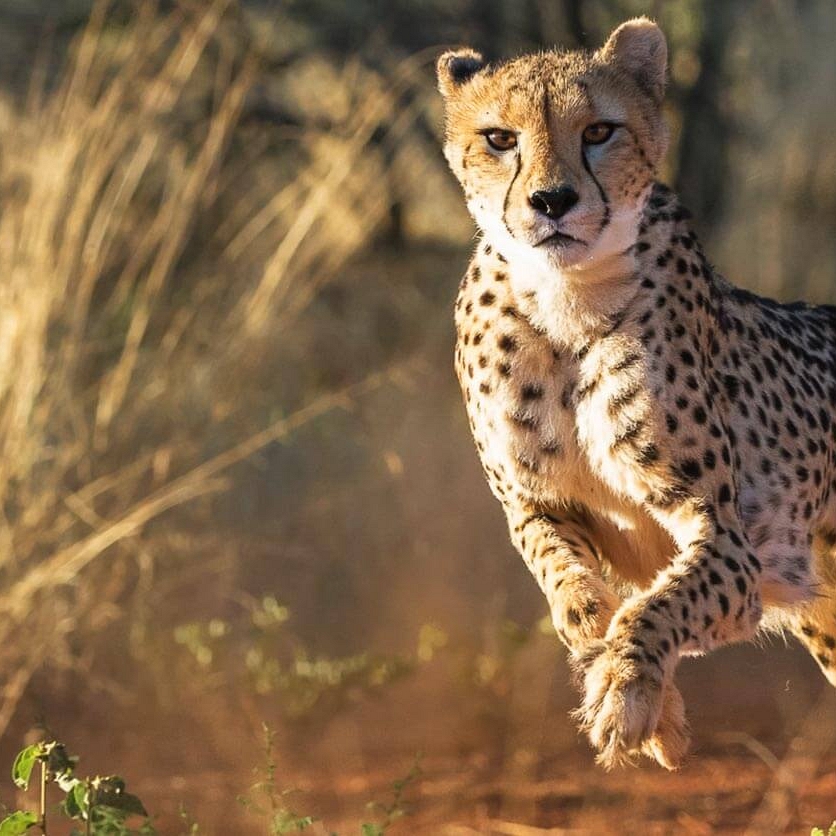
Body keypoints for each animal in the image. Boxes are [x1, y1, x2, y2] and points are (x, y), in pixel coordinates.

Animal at [438, 14, 836, 772]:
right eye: (499, 139)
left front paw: (628, 691)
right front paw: (596, 631)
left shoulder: (727, 537)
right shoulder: (534, 502)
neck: (565, 298)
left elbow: (659, 605)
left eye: (599, 130)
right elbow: (558, 569)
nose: (552, 201)